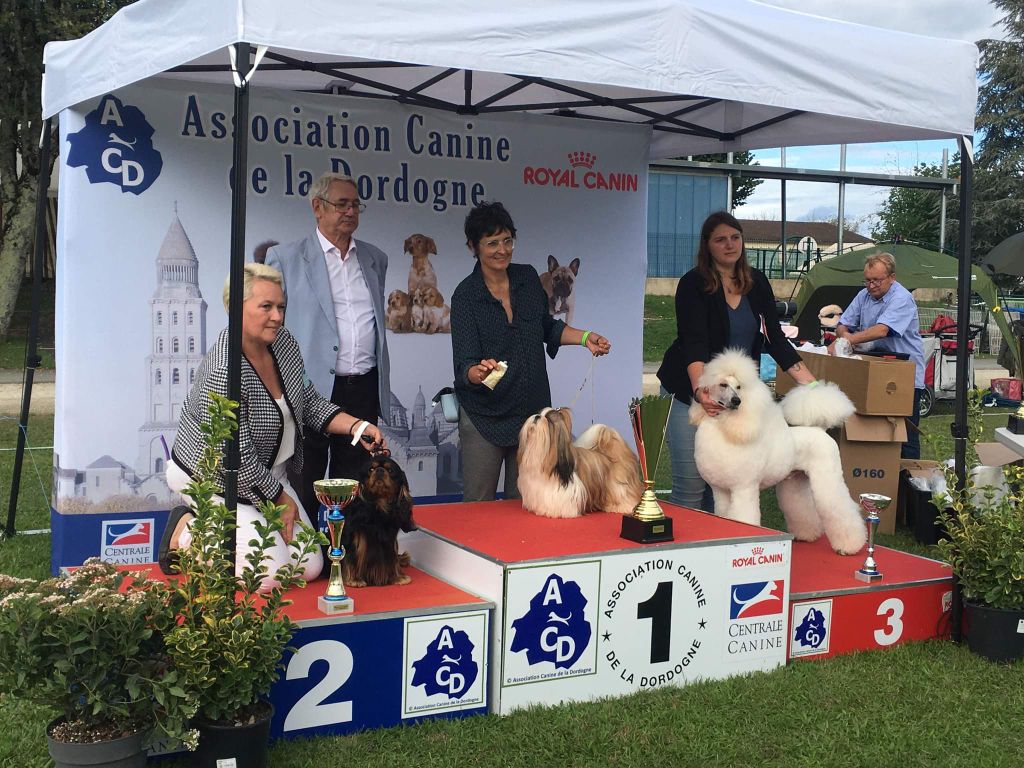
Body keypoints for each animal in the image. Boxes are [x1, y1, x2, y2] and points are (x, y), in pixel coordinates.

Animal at [344, 454, 415, 585]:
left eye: (390, 470)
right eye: (371, 469)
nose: (380, 470)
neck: (379, 505)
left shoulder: (390, 540)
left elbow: (392, 558)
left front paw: (397, 577)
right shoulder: (355, 537)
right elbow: (352, 556)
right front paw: (355, 579)